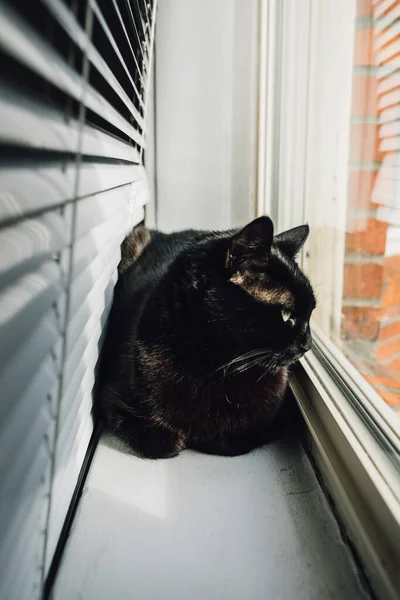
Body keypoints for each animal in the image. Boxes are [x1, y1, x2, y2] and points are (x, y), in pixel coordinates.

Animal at [97, 218, 316, 458]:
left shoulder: (276, 416)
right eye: (286, 315)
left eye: (311, 312)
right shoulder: (114, 401)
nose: (308, 344)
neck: (216, 369)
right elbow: (166, 444)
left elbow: (232, 439)